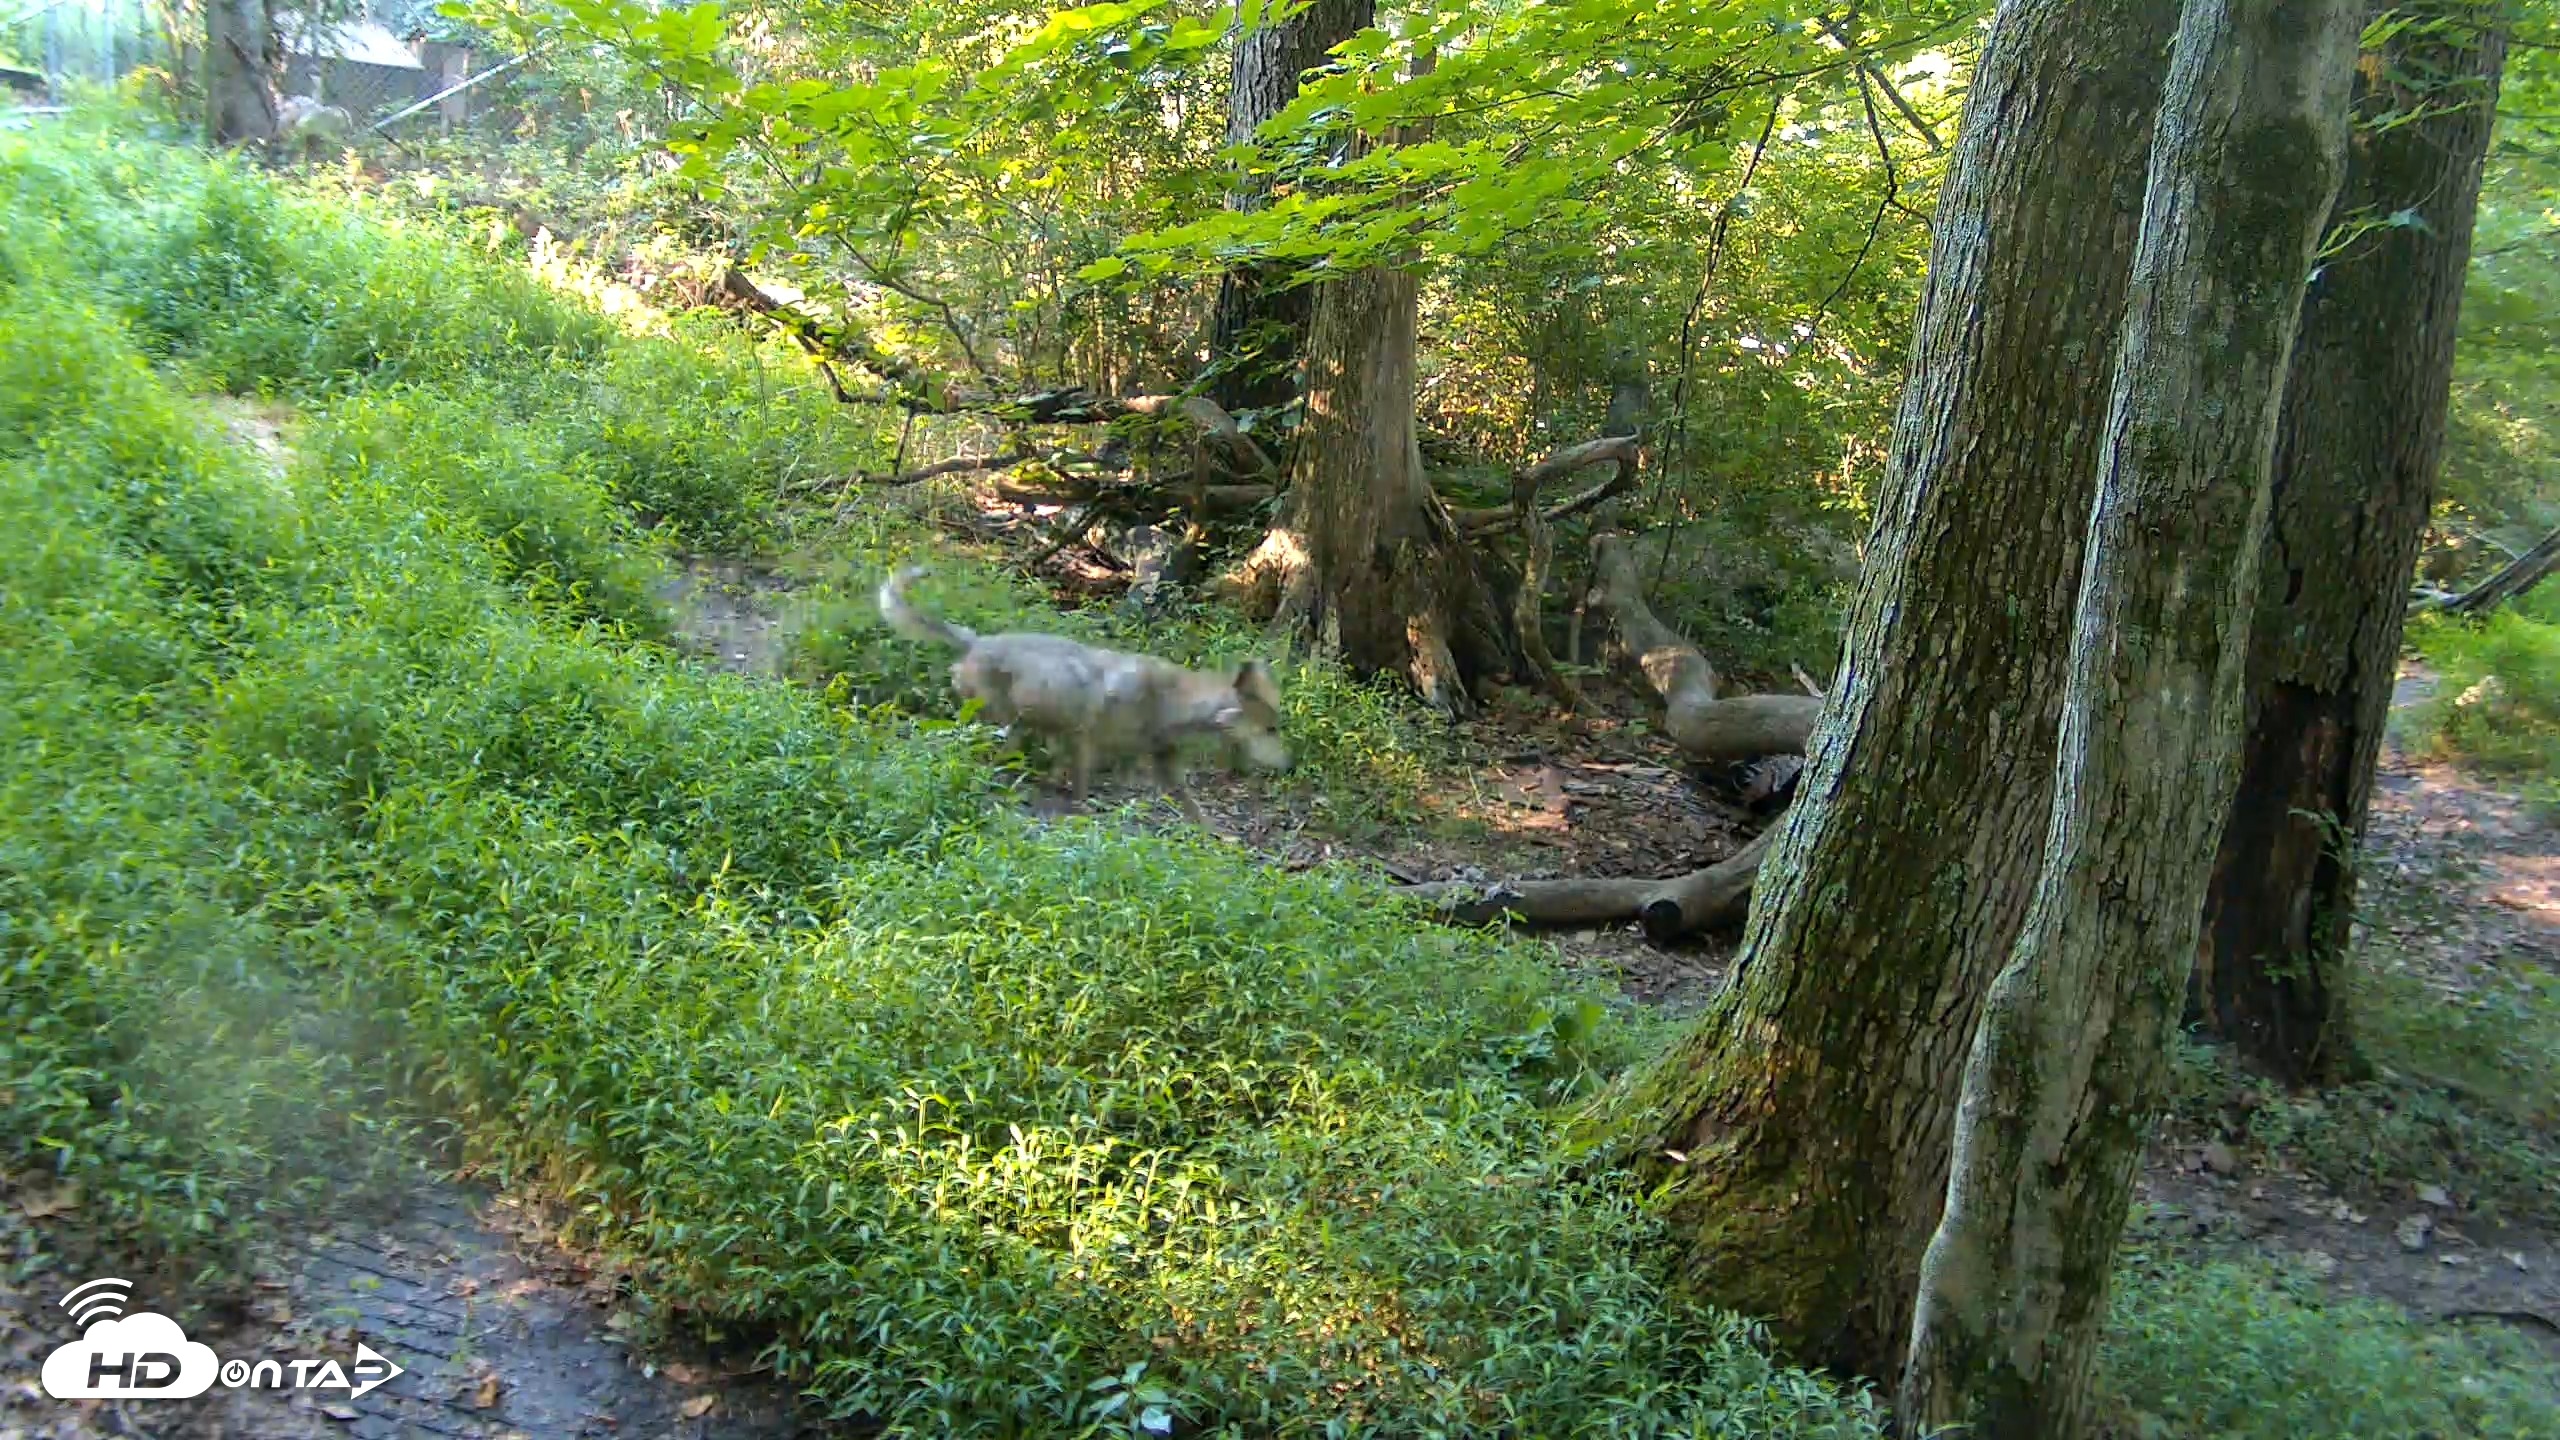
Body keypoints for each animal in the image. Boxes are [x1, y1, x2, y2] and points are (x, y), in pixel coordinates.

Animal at [877, 566, 1289, 822]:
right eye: (1269, 730)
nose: (1291, 764)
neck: (1170, 702)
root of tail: (976, 641)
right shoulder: (1085, 738)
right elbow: (1082, 786)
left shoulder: (1159, 762)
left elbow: (1196, 812)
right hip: (1000, 719)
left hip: (1019, 724)